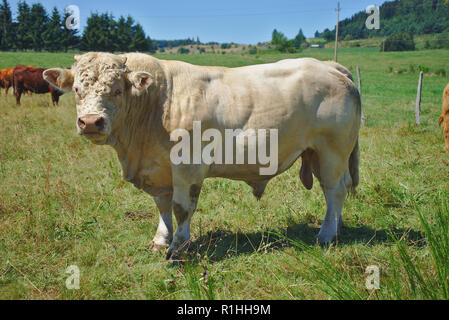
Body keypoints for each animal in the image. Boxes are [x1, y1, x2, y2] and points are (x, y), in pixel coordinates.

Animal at [44, 52, 360, 258]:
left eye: (118, 90)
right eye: (76, 89)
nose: (90, 122)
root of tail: (329, 66)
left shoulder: (187, 166)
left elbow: (182, 208)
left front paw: (178, 248)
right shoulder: (159, 169)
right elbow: (163, 206)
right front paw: (161, 239)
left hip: (332, 151)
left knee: (334, 190)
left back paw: (326, 235)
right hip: (317, 154)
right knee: (337, 189)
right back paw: (337, 225)